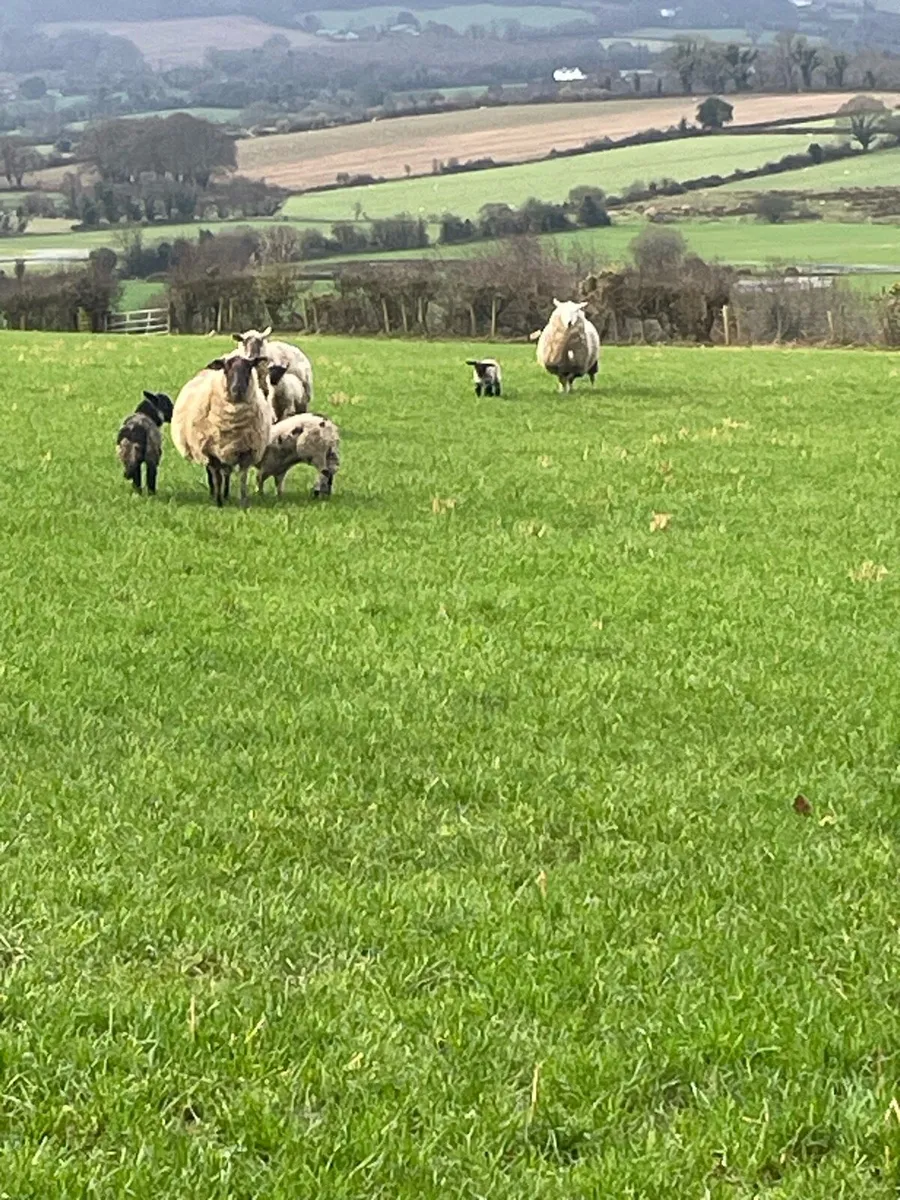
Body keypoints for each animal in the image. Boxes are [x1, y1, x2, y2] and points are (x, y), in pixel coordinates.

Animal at [171, 355, 274, 508]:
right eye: (226, 368)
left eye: (249, 367)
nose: (238, 389)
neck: (233, 422)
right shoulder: (210, 451)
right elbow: (217, 478)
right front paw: (218, 502)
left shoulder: (246, 451)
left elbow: (242, 478)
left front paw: (243, 502)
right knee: (213, 474)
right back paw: (214, 494)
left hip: (228, 451)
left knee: (227, 473)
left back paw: (225, 495)